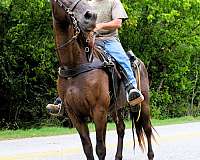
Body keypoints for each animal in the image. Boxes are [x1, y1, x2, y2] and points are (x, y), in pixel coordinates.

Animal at [49, 0, 155, 159]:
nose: (91, 16)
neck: (75, 65)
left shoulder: (99, 111)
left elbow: (100, 148)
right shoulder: (75, 114)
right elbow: (87, 147)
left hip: (145, 103)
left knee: (147, 129)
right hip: (115, 108)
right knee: (121, 128)